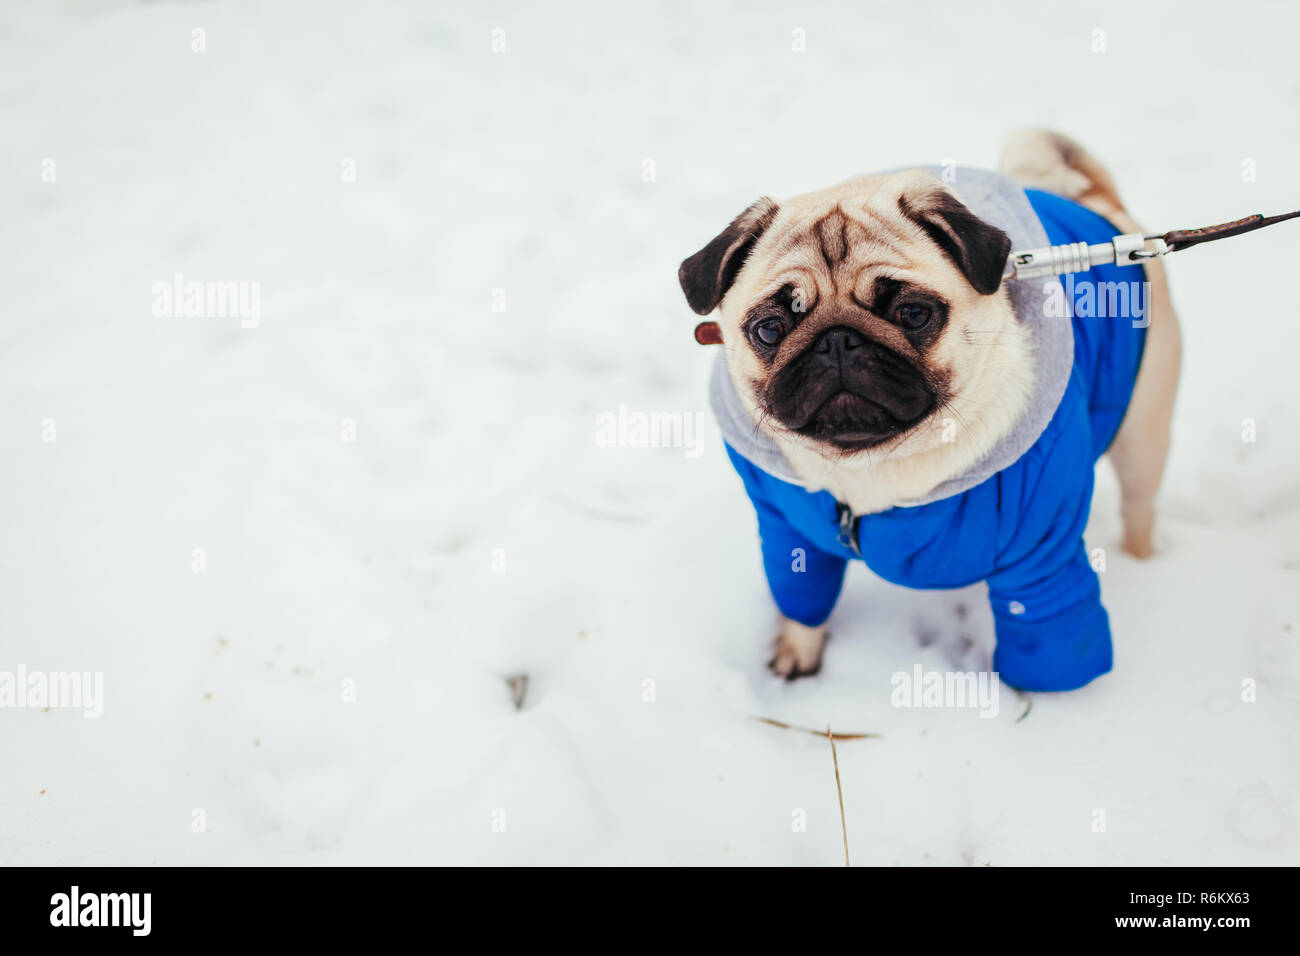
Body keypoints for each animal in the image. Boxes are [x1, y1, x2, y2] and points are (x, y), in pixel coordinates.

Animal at [686, 130, 1185, 691]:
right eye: (769, 329)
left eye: (914, 313)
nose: (837, 342)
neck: (872, 469)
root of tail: (1094, 201)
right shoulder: (789, 534)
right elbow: (801, 600)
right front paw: (798, 653)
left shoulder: (1040, 562)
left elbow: (1048, 632)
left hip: (1142, 439)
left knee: (1138, 507)